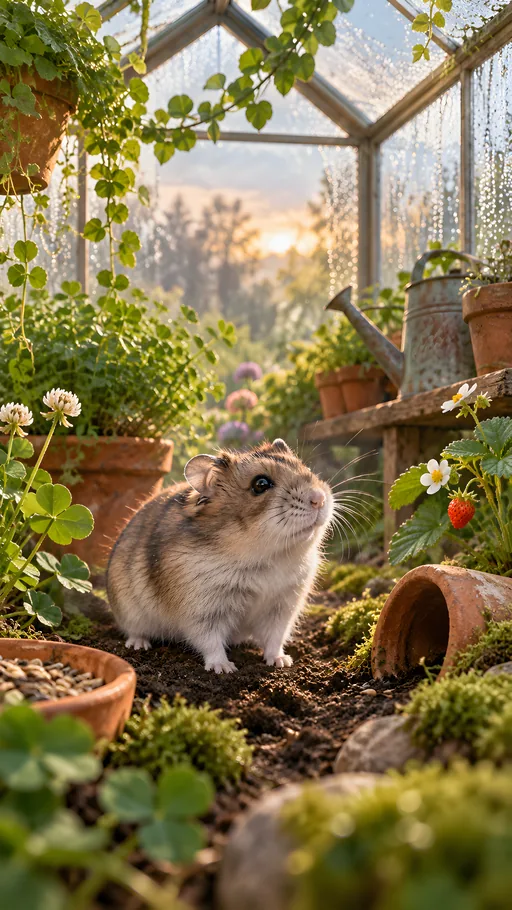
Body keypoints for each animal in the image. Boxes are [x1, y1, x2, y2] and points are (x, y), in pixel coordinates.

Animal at [107, 438, 334, 673]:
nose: (319, 499)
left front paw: (282, 662)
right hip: (130, 612)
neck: (269, 555)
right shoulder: (202, 610)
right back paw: (139, 645)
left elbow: (275, 638)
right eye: (260, 484)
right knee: (134, 630)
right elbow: (210, 641)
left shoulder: (283, 606)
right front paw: (224, 669)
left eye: (306, 468)